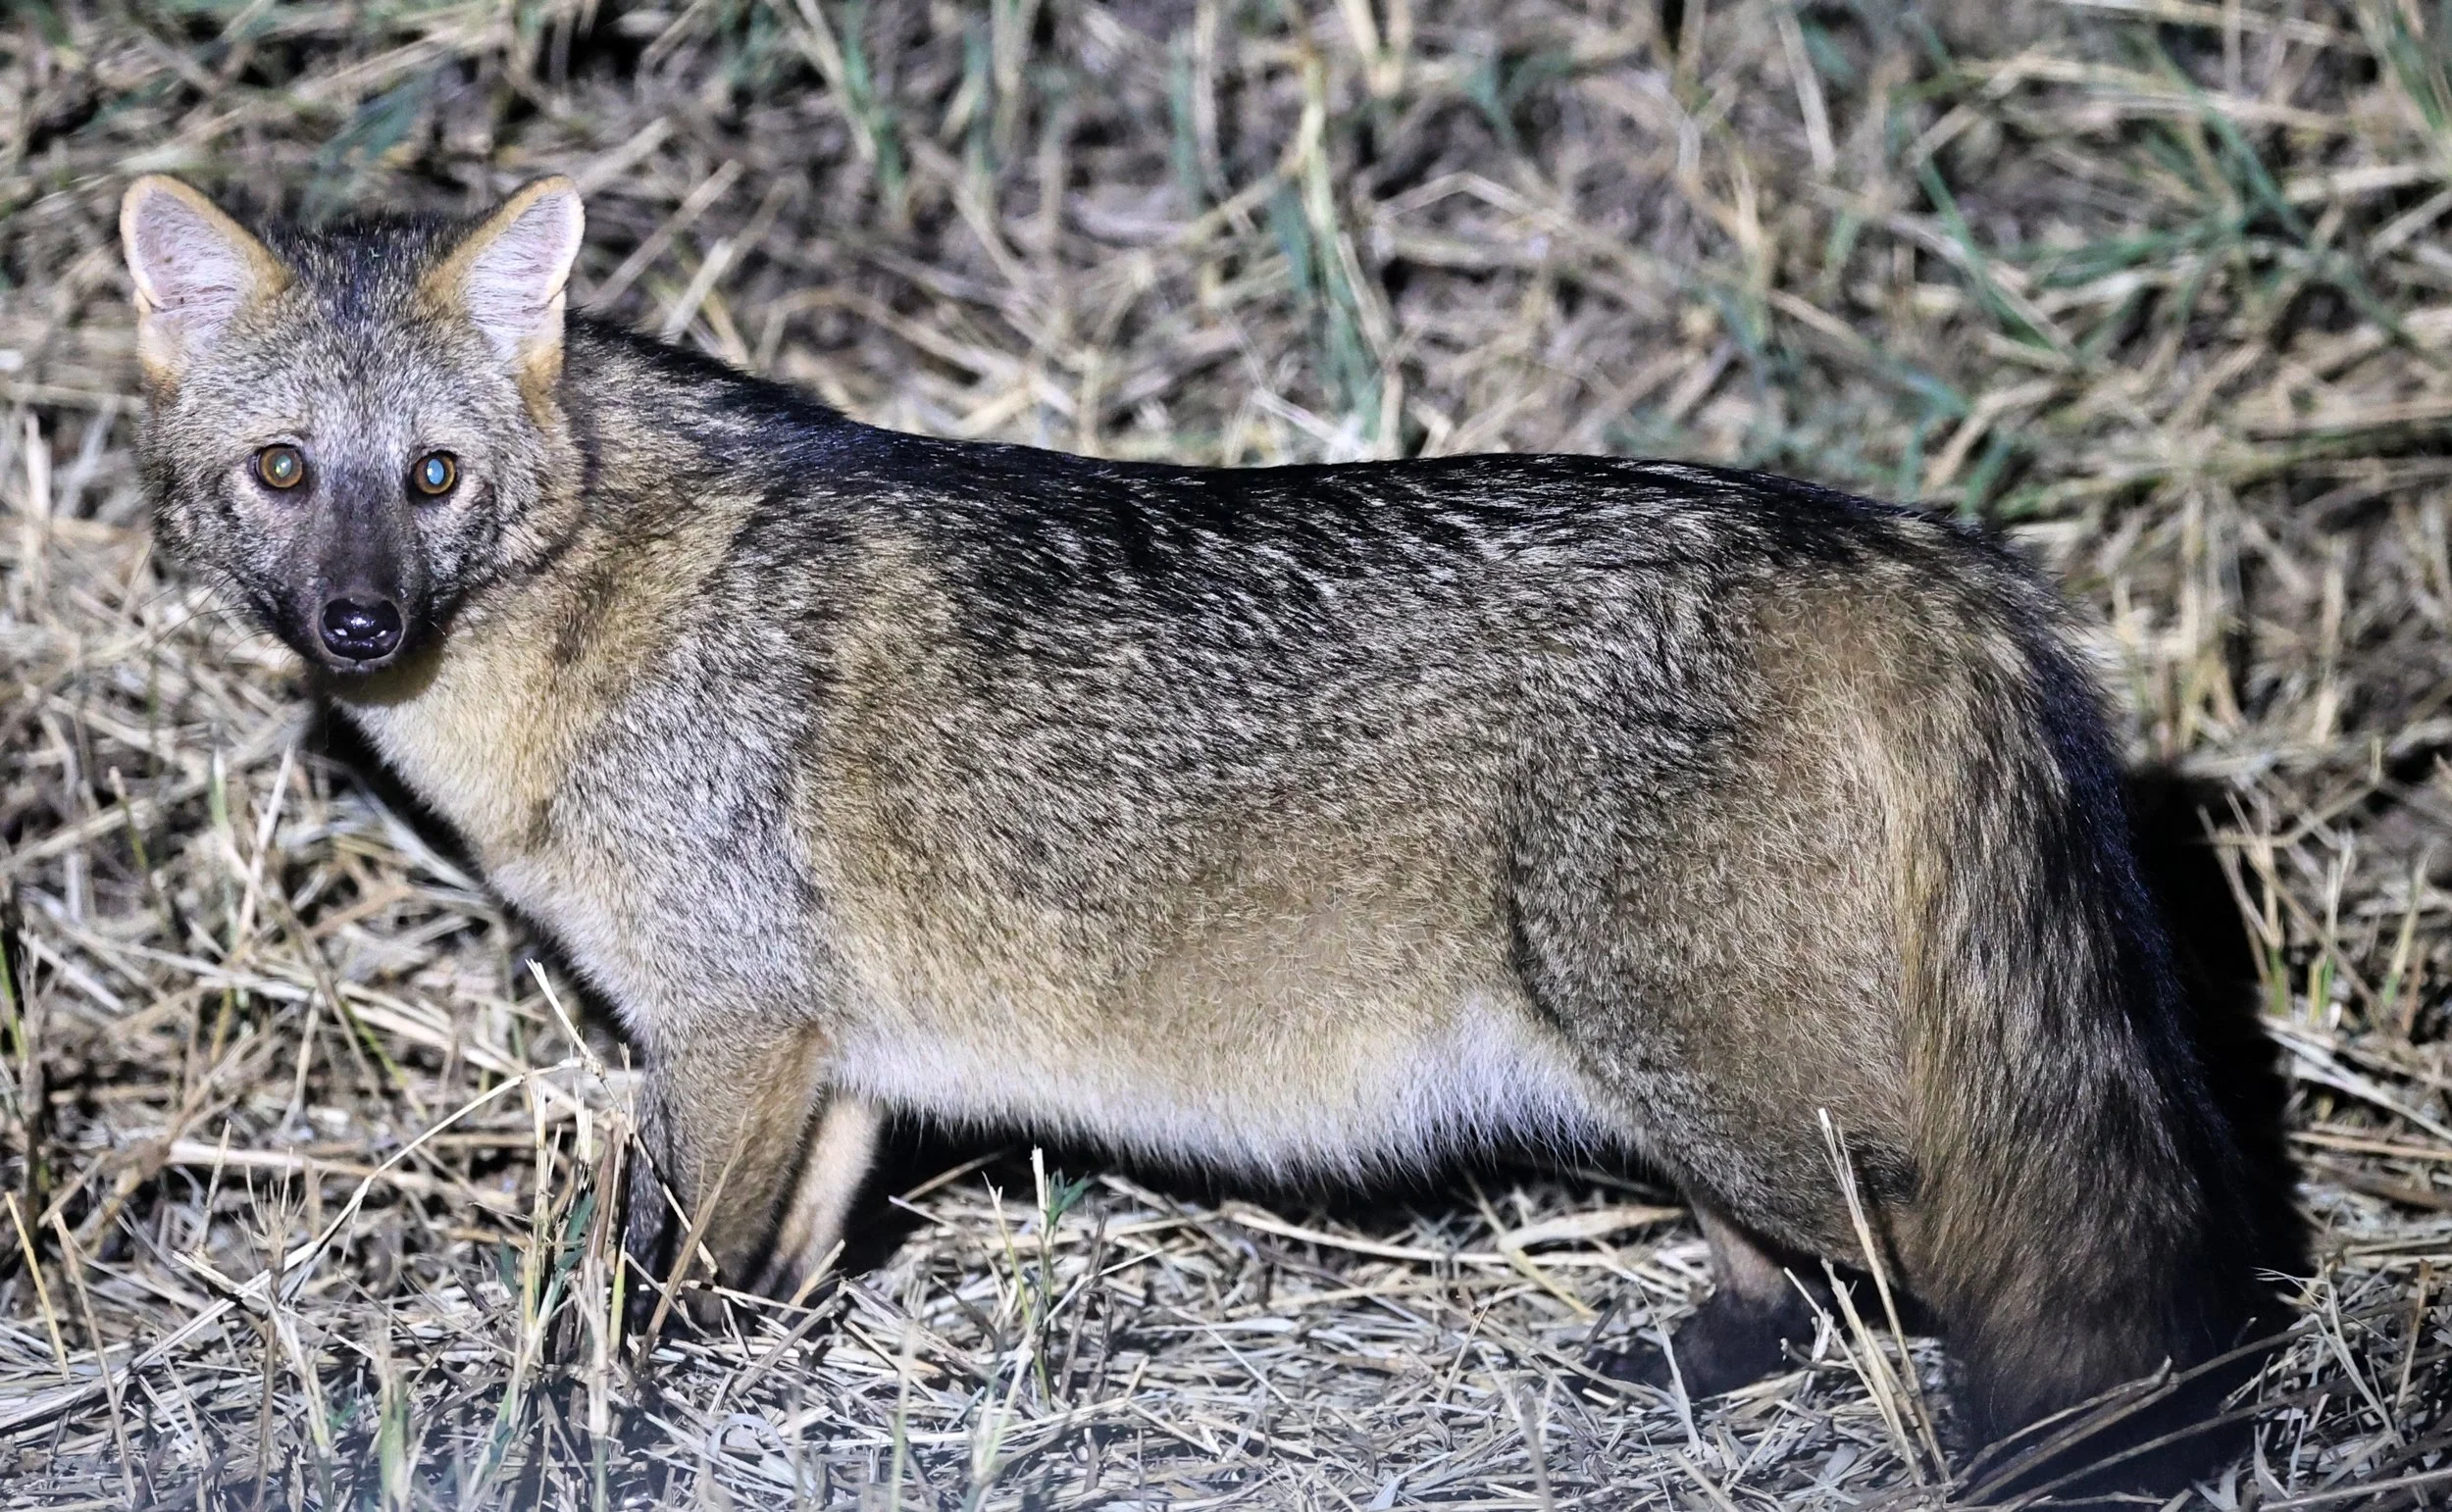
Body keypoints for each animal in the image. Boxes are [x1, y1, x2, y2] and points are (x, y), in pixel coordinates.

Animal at [121, 172, 2287, 1483]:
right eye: (286, 473)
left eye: (432, 478)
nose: (356, 626)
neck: (593, 615)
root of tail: (1893, 540)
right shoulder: (828, 1066)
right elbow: (775, 1269)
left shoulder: (727, 1032)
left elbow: (638, 1281)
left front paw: (588, 1418)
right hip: (1688, 1087)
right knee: (1791, 1275)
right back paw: (1680, 1367)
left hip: (1745, 1087)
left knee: (1981, 1272)